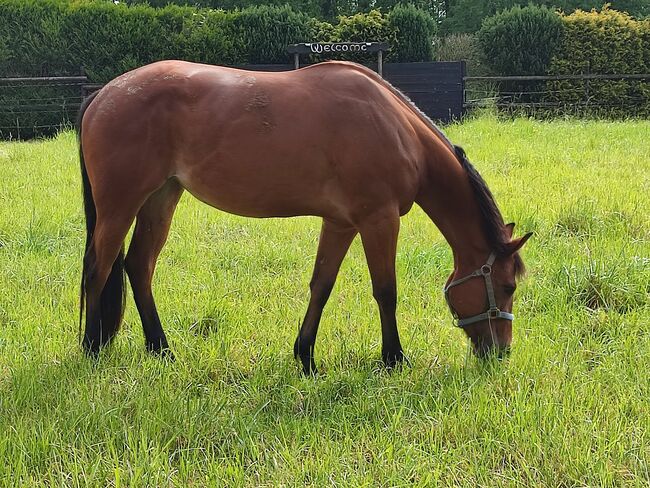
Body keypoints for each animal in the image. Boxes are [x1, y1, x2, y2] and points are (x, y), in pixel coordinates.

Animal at [77, 60, 532, 374]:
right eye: (507, 287)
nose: (501, 353)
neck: (395, 128)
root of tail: (103, 95)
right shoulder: (378, 220)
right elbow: (386, 291)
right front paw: (394, 358)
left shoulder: (341, 223)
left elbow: (321, 286)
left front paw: (306, 358)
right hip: (120, 206)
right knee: (99, 269)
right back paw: (91, 349)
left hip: (160, 198)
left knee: (139, 266)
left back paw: (162, 350)